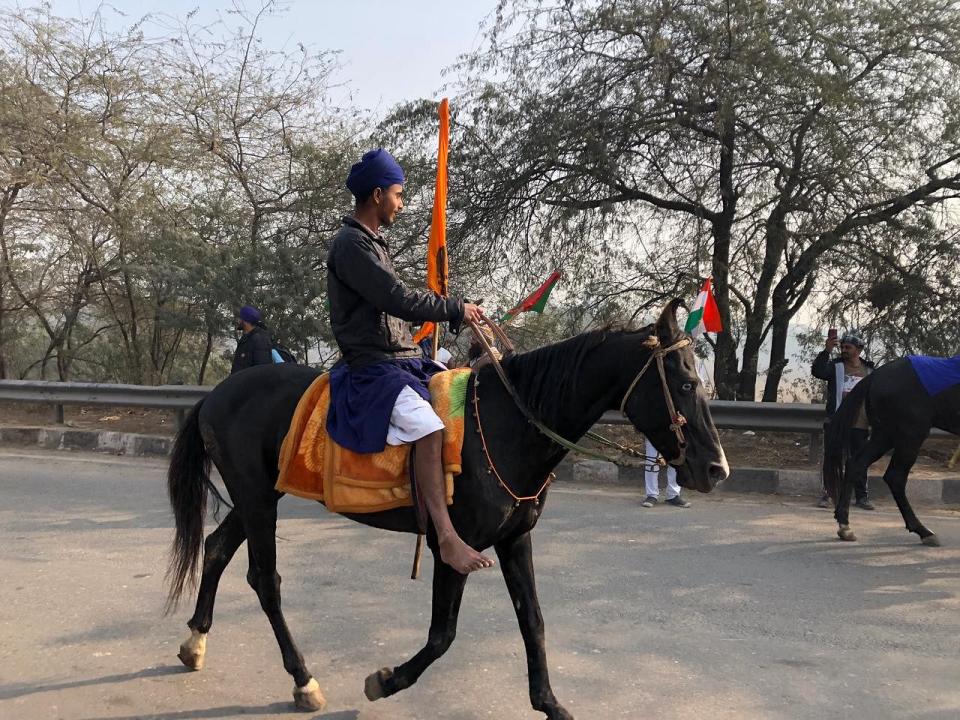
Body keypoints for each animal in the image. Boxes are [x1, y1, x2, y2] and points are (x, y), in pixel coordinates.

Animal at [167, 300, 728, 716]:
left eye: (699, 382)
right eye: (684, 383)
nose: (716, 468)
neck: (509, 423)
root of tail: (215, 395)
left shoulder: (515, 539)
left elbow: (534, 621)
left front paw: (549, 703)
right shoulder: (452, 550)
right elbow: (442, 635)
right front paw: (385, 680)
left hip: (258, 496)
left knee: (216, 549)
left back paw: (195, 642)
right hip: (258, 499)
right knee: (265, 579)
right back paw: (303, 680)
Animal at [820, 358, 956, 548]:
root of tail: (875, 375)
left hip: (884, 435)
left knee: (856, 464)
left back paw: (845, 525)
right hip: (909, 437)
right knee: (895, 477)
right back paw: (923, 531)